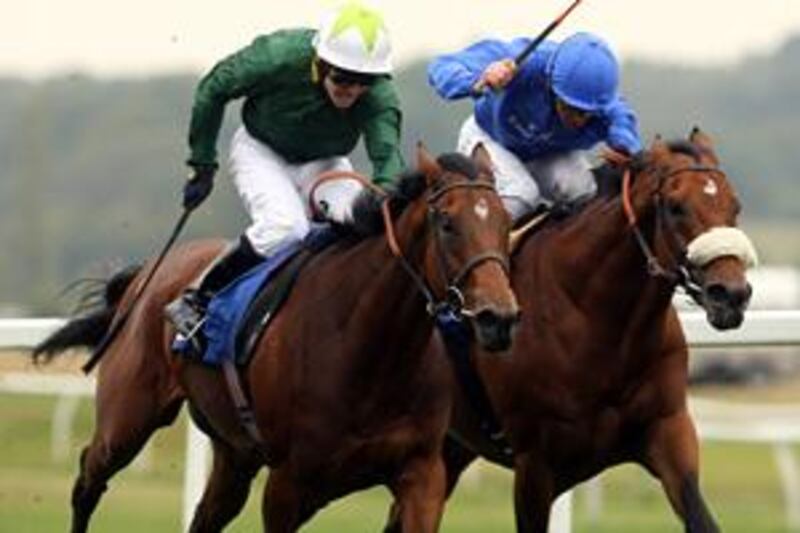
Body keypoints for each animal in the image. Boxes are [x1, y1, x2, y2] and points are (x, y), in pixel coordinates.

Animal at [32, 143, 520, 528]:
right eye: (448, 224)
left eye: (503, 220)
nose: (498, 317)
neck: (372, 352)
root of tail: (147, 275)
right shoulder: (288, 485)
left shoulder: (422, 474)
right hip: (126, 419)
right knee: (88, 477)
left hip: (235, 455)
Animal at [390, 129, 760, 532]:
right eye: (676, 207)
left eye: (735, 205)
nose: (731, 294)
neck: (599, 323)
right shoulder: (535, 462)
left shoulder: (670, 432)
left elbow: (702, 518)